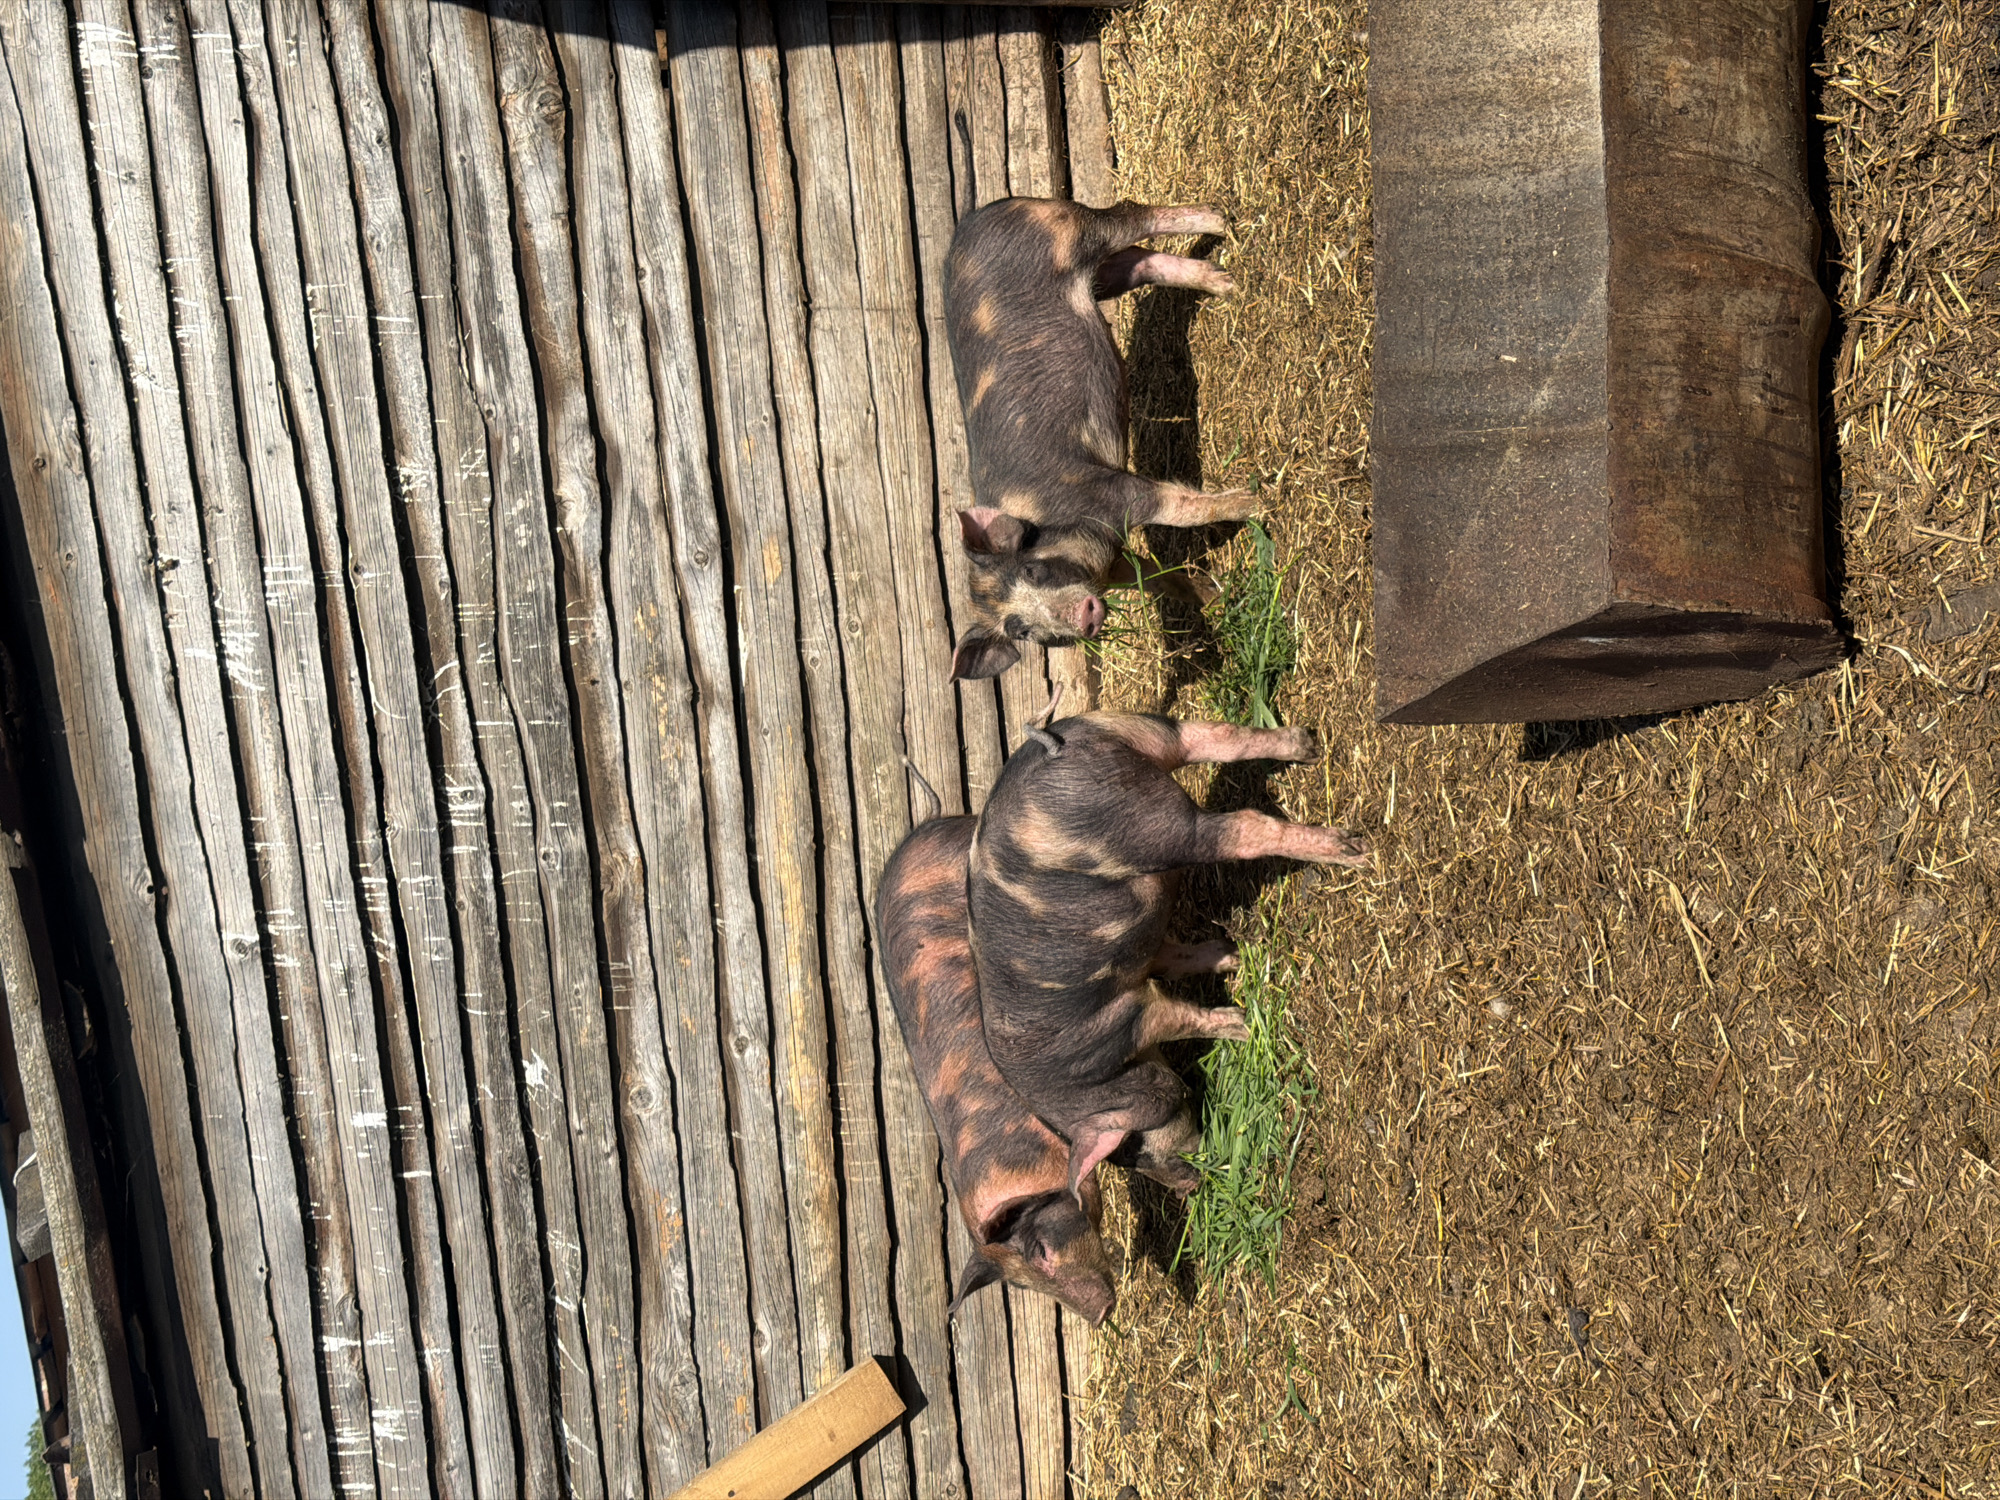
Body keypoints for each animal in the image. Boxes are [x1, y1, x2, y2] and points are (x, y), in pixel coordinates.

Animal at [945, 196, 1255, 681]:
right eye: (1020, 630)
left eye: (1032, 571)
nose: (1085, 617)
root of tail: (980, 214)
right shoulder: (1112, 566)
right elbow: (1158, 579)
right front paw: (1211, 595)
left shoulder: (1108, 490)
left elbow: (1179, 506)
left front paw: (1258, 502)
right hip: (1100, 278)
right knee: (1136, 265)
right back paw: (1223, 282)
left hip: (1073, 231)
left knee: (1133, 216)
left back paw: (1223, 228)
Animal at [968, 713, 1371, 1200]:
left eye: (1132, 1150)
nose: (1188, 1188)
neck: (1091, 1081)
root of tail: (1054, 747)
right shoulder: (1145, 958)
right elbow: (1177, 958)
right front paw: (1233, 957)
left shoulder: (1128, 1019)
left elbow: (1181, 1015)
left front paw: (1241, 1026)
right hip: (1139, 734)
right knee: (1215, 738)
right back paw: (1307, 747)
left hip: (1148, 825)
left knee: (1244, 827)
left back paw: (1356, 852)